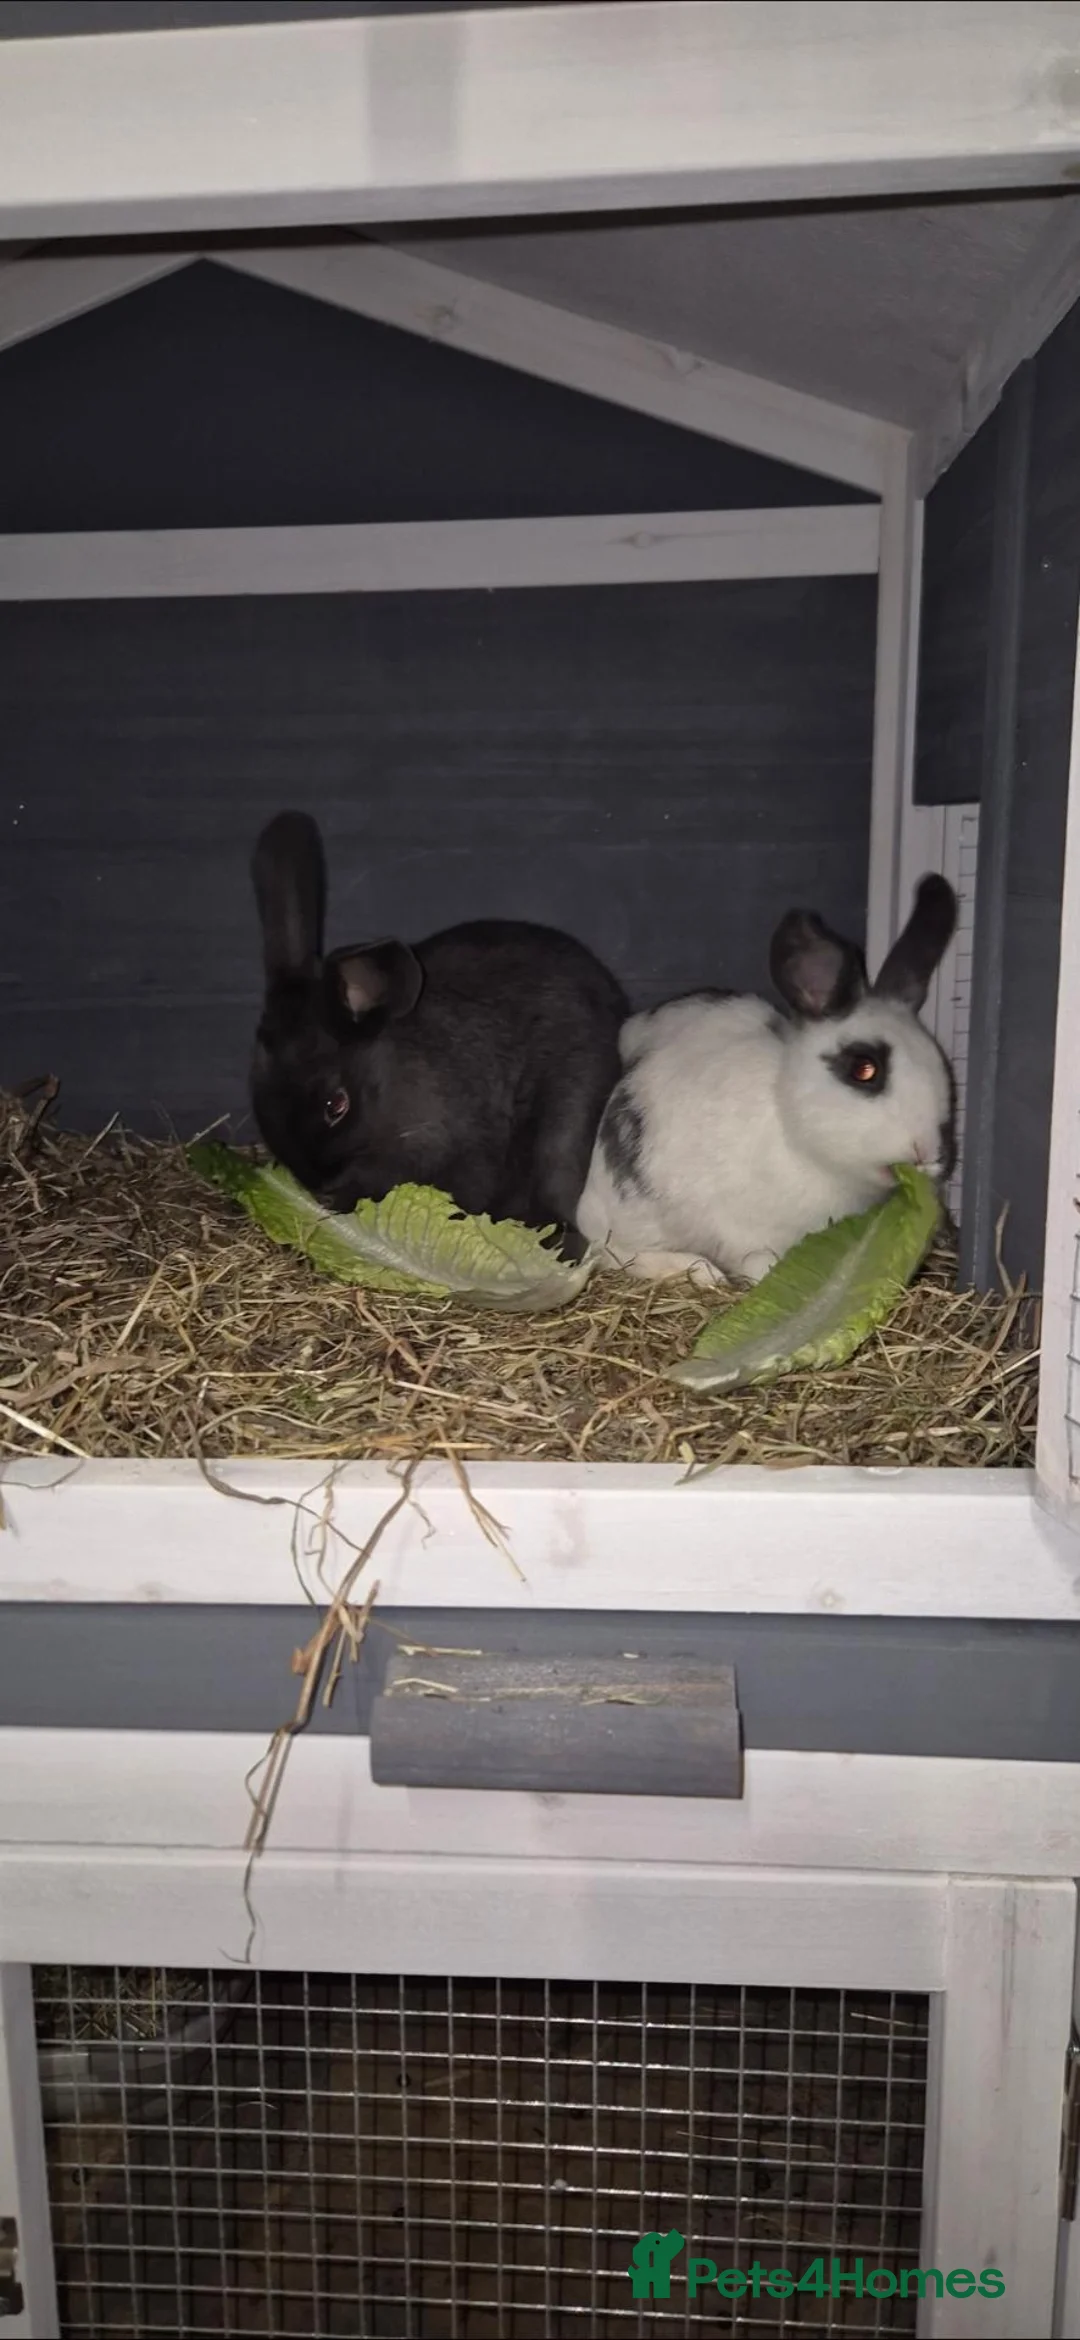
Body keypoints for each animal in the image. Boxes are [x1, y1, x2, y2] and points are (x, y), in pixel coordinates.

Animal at [576, 874, 957, 1287]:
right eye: (864, 1069)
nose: (926, 1152)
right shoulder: (744, 1233)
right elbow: (760, 1264)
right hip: (634, 1218)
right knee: (611, 1251)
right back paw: (700, 1270)